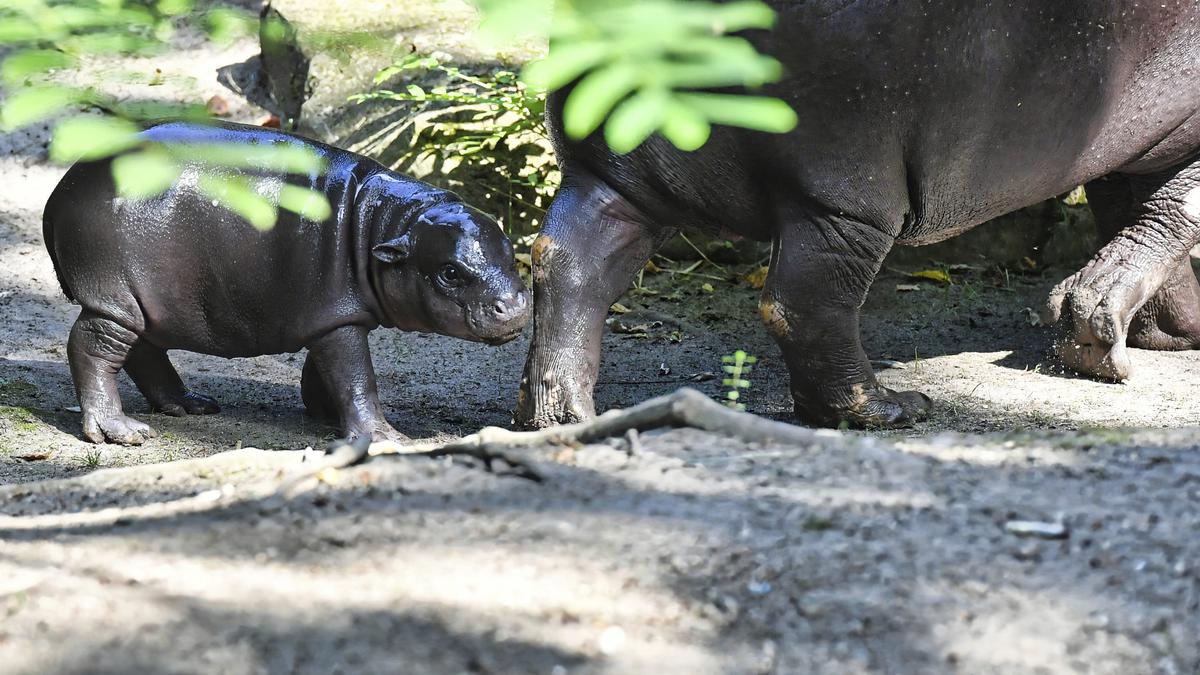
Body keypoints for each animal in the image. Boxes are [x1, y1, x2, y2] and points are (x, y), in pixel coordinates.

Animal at [43, 120, 530, 444]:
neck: (386, 223)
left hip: (145, 301)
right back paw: (120, 432)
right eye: (450, 272)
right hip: (114, 298)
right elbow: (358, 378)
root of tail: (61, 189)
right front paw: (386, 438)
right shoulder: (339, 319)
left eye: (512, 252)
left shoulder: (334, 315)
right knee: (93, 347)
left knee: (144, 349)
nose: (515, 305)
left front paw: (325, 415)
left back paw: (190, 404)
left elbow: (329, 371)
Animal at [520, 1, 1200, 425]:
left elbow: (1139, 214)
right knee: (802, 304)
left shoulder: (1137, 143)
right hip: (847, 198)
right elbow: (1173, 212)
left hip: (610, 175)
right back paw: (889, 408)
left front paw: (1157, 330)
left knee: (568, 264)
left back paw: (556, 416)